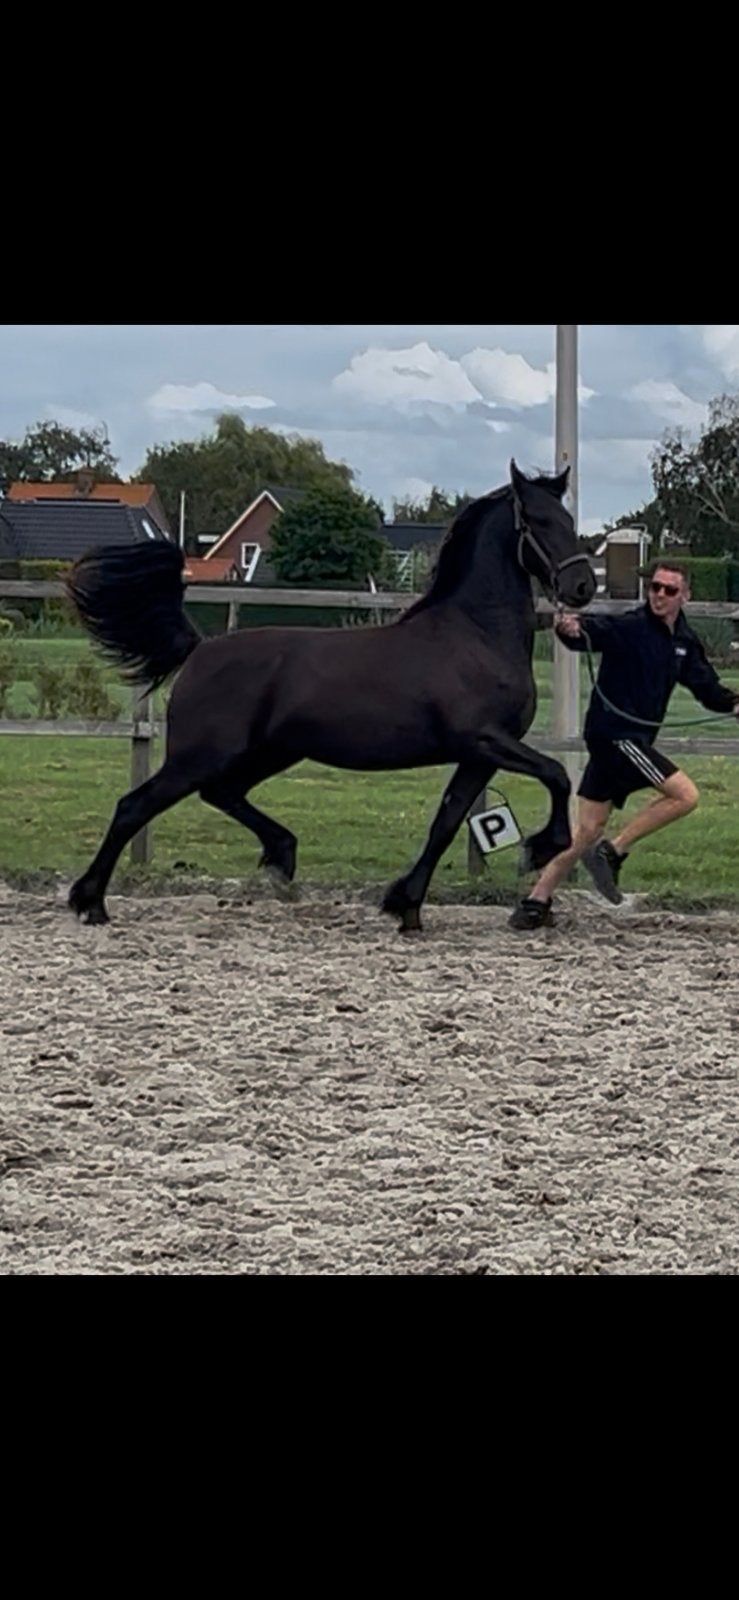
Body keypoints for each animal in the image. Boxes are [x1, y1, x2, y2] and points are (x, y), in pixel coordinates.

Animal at [65, 459, 596, 931]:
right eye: (539, 521)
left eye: (570, 521)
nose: (582, 586)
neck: (475, 634)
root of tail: (199, 648)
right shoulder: (483, 739)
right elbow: (555, 774)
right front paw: (539, 848)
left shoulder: (478, 756)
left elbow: (445, 823)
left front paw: (406, 906)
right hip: (202, 754)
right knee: (135, 806)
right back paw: (90, 903)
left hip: (269, 752)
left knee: (221, 792)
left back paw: (281, 855)